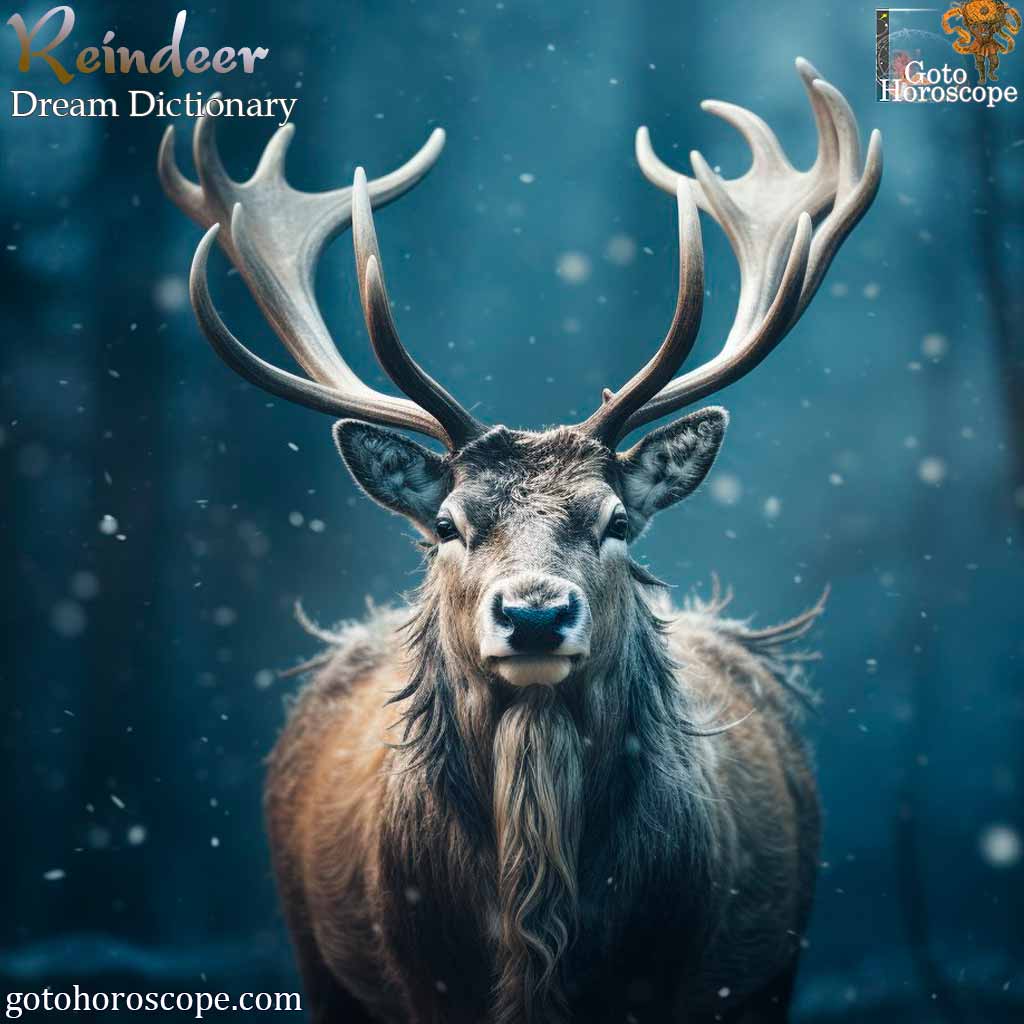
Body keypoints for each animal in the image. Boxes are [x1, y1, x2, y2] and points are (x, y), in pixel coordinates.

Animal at [159, 57, 881, 1024]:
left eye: (616, 521)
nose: (534, 616)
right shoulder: (416, 974)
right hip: (318, 961)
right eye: (447, 524)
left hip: (776, 968)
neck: (537, 941)